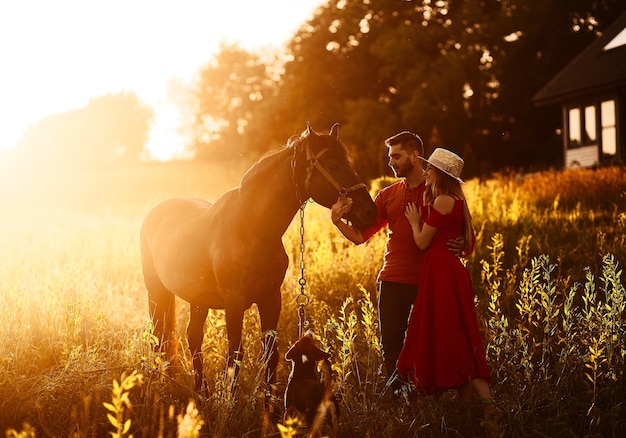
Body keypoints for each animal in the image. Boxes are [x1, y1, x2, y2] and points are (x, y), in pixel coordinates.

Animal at [140, 121, 376, 396]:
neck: (251, 228)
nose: (370, 212)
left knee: (193, 337)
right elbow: (235, 355)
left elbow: (271, 354)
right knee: (159, 338)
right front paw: (228, 401)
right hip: (157, 293)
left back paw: (202, 392)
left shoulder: (271, 299)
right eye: (333, 165)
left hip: (198, 300)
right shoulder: (234, 304)